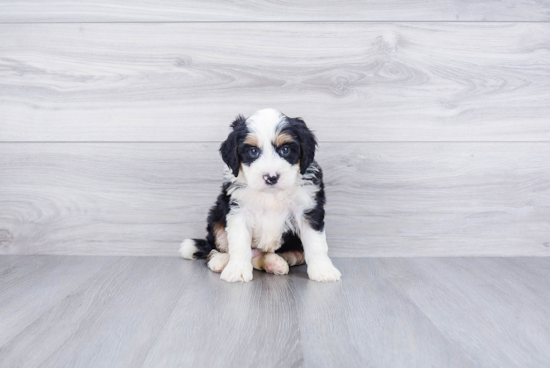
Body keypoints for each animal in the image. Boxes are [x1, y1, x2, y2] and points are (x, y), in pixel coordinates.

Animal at [181, 108, 342, 284]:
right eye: (253, 151)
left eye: (285, 150)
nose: (271, 177)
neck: (271, 194)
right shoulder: (238, 210)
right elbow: (239, 242)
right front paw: (237, 270)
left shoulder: (307, 208)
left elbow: (316, 242)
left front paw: (323, 270)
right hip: (216, 216)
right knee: (214, 248)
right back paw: (221, 260)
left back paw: (275, 262)